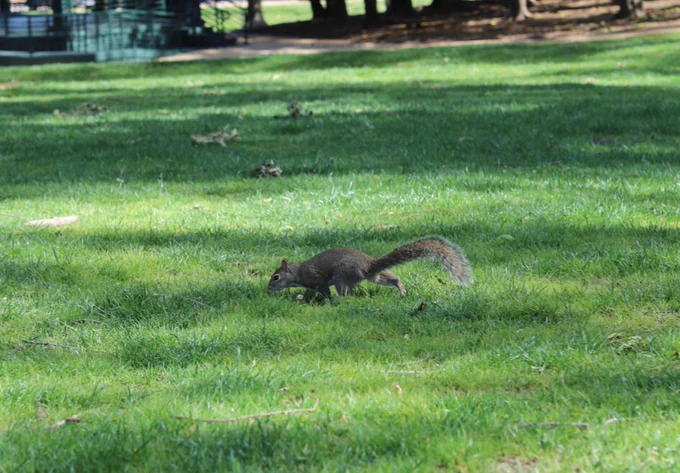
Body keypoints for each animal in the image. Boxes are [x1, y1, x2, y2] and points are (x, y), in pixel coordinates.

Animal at [267, 236, 472, 300]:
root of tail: (367, 264)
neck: (297, 273)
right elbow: (309, 293)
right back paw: (402, 290)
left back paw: (341, 301)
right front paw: (304, 300)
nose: (268, 288)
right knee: (392, 278)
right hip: (375, 277)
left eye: (276, 277)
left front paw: (325, 301)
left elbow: (324, 291)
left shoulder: (317, 280)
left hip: (342, 277)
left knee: (347, 294)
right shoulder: (310, 285)